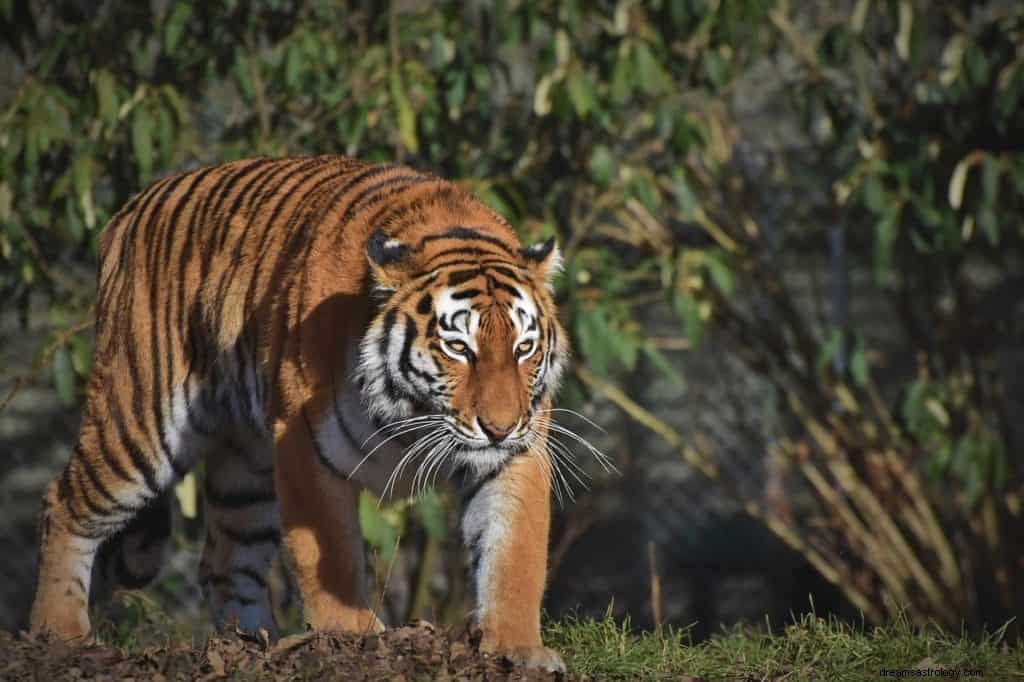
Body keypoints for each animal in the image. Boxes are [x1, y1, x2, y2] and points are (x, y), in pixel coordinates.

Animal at [29, 155, 569, 667]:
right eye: (459, 347)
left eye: (523, 348)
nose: (499, 428)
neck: (414, 414)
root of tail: (129, 210)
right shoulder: (305, 444)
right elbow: (331, 555)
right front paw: (352, 635)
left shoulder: (516, 456)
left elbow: (514, 554)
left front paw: (519, 648)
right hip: (139, 421)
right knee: (65, 502)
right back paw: (59, 630)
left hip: (247, 467)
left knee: (225, 559)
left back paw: (255, 643)